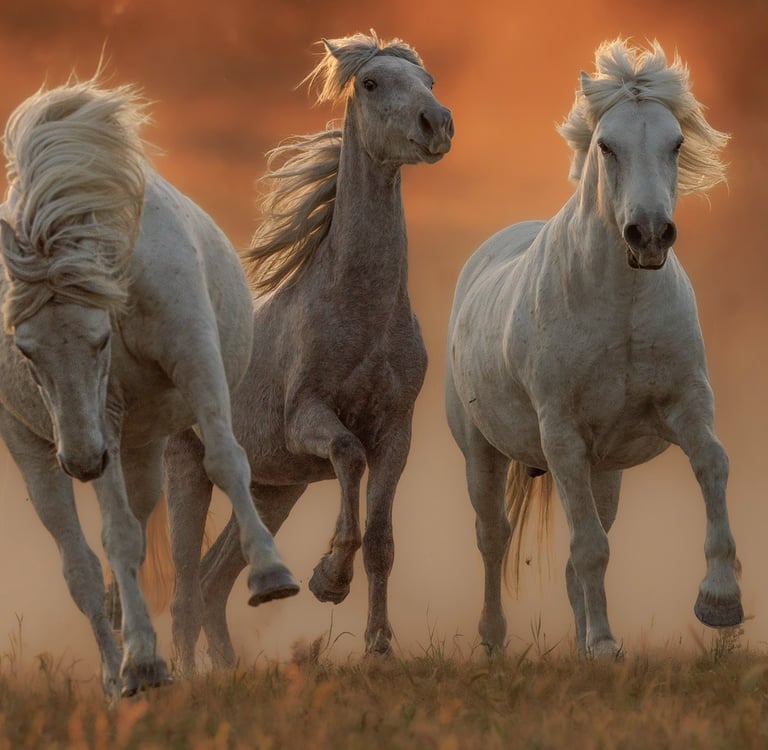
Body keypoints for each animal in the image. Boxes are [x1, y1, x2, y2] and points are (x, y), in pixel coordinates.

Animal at [0, 77, 298, 699]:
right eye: (25, 350)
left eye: (98, 340)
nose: (81, 461)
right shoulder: (104, 416)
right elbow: (115, 539)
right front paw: (141, 662)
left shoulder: (196, 361)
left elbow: (227, 462)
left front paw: (271, 574)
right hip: (41, 448)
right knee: (84, 567)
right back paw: (123, 673)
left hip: (141, 445)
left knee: (134, 527)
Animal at [161, 31, 453, 672]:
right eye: (371, 82)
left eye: (429, 82)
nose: (437, 123)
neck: (360, 310)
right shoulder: (308, 419)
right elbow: (348, 456)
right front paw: (327, 580)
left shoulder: (396, 435)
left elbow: (382, 541)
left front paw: (379, 647)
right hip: (188, 469)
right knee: (185, 589)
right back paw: (186, 677)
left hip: (273, 489)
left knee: (214, 580)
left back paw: (229, 672)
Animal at [445, 38, 742, 658]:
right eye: (607, 146)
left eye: (676, 143)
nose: (649, 234)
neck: (622, 308)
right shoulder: (562, 437)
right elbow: (589, 549)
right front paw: (606, 646)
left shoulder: (684, 407)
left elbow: (712, 465)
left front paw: (720, 602)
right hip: (484, 453)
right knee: (493, 539)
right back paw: (495, 642)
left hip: (603, 471)